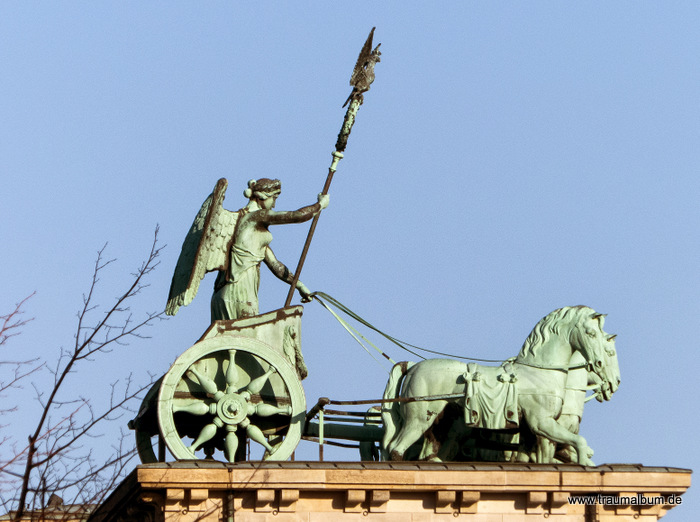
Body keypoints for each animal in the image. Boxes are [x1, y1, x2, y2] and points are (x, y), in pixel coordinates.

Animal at [382, 304, 616, 464]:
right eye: (590, 333)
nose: (600, 364)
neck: (541, 371)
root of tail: (413, 366)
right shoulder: (541, 423)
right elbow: (580, 442)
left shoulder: (531, 436)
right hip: (419, 419)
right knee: (396, 449)